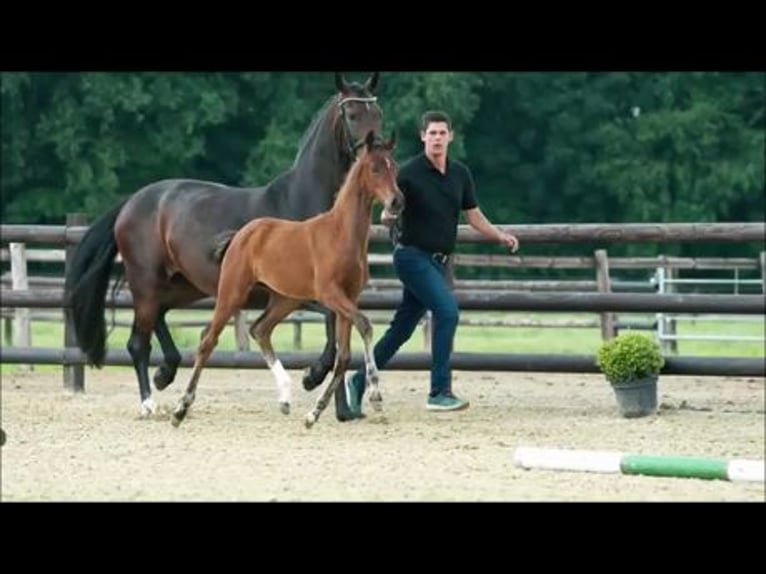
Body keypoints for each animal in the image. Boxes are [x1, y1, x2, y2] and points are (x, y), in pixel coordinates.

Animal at [63, 72, 384, 418]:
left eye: (377, 114)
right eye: (351, 113)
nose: (375, 151)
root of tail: (132, 201)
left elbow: (337, 331)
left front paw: (340, 408)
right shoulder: (302, 291)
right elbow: (331, 328)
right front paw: (313, 377)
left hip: (184, 285)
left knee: (159, 317)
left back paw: (166, 371)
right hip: (147, 281)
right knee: (138, 342)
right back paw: (150, 402)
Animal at [172, 130, 404, 428]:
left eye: (394, 167)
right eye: (375, 168)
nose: (397, 201)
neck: (341, 234)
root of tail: (241, 234)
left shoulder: (348, 297)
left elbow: (343, 356)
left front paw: (314, 413)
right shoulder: (330, 294)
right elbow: (365, 325)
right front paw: (375, 396)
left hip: (286, 300)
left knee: (260, 329)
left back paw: (284, 397)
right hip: (232, 292)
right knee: (207, 341)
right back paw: (180, 409)